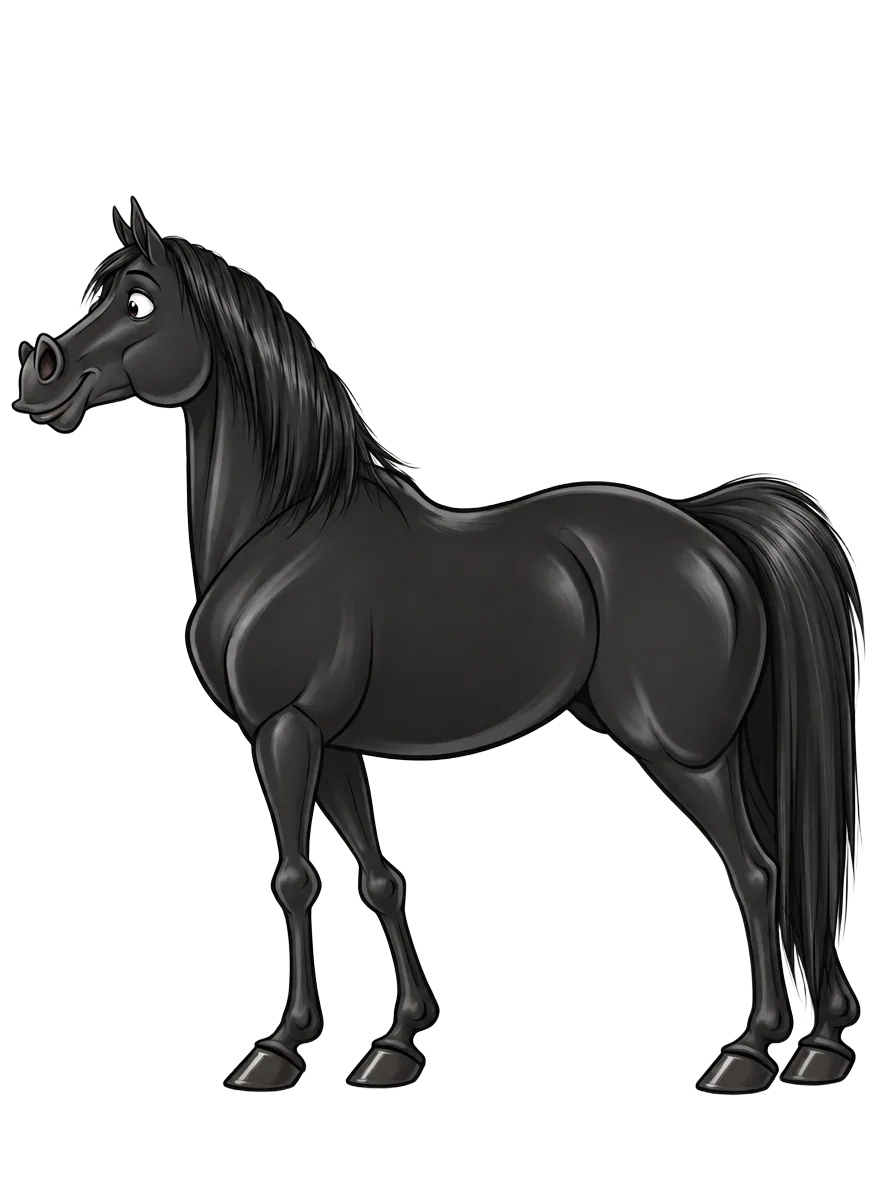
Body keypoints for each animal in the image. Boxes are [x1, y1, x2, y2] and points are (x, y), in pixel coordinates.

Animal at [12, 198, 863, 1095]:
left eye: (138, 302)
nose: (39, 376)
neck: (286, 527)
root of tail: (707, 527)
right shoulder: (330, 744)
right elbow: (378, 878)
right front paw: (397, 1041)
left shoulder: (280, 733)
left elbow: (294, 880)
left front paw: (279, 1047)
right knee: (789, 866)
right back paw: (823, 1043)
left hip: (679, 751)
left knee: (758, 872)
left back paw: (749, 1051)